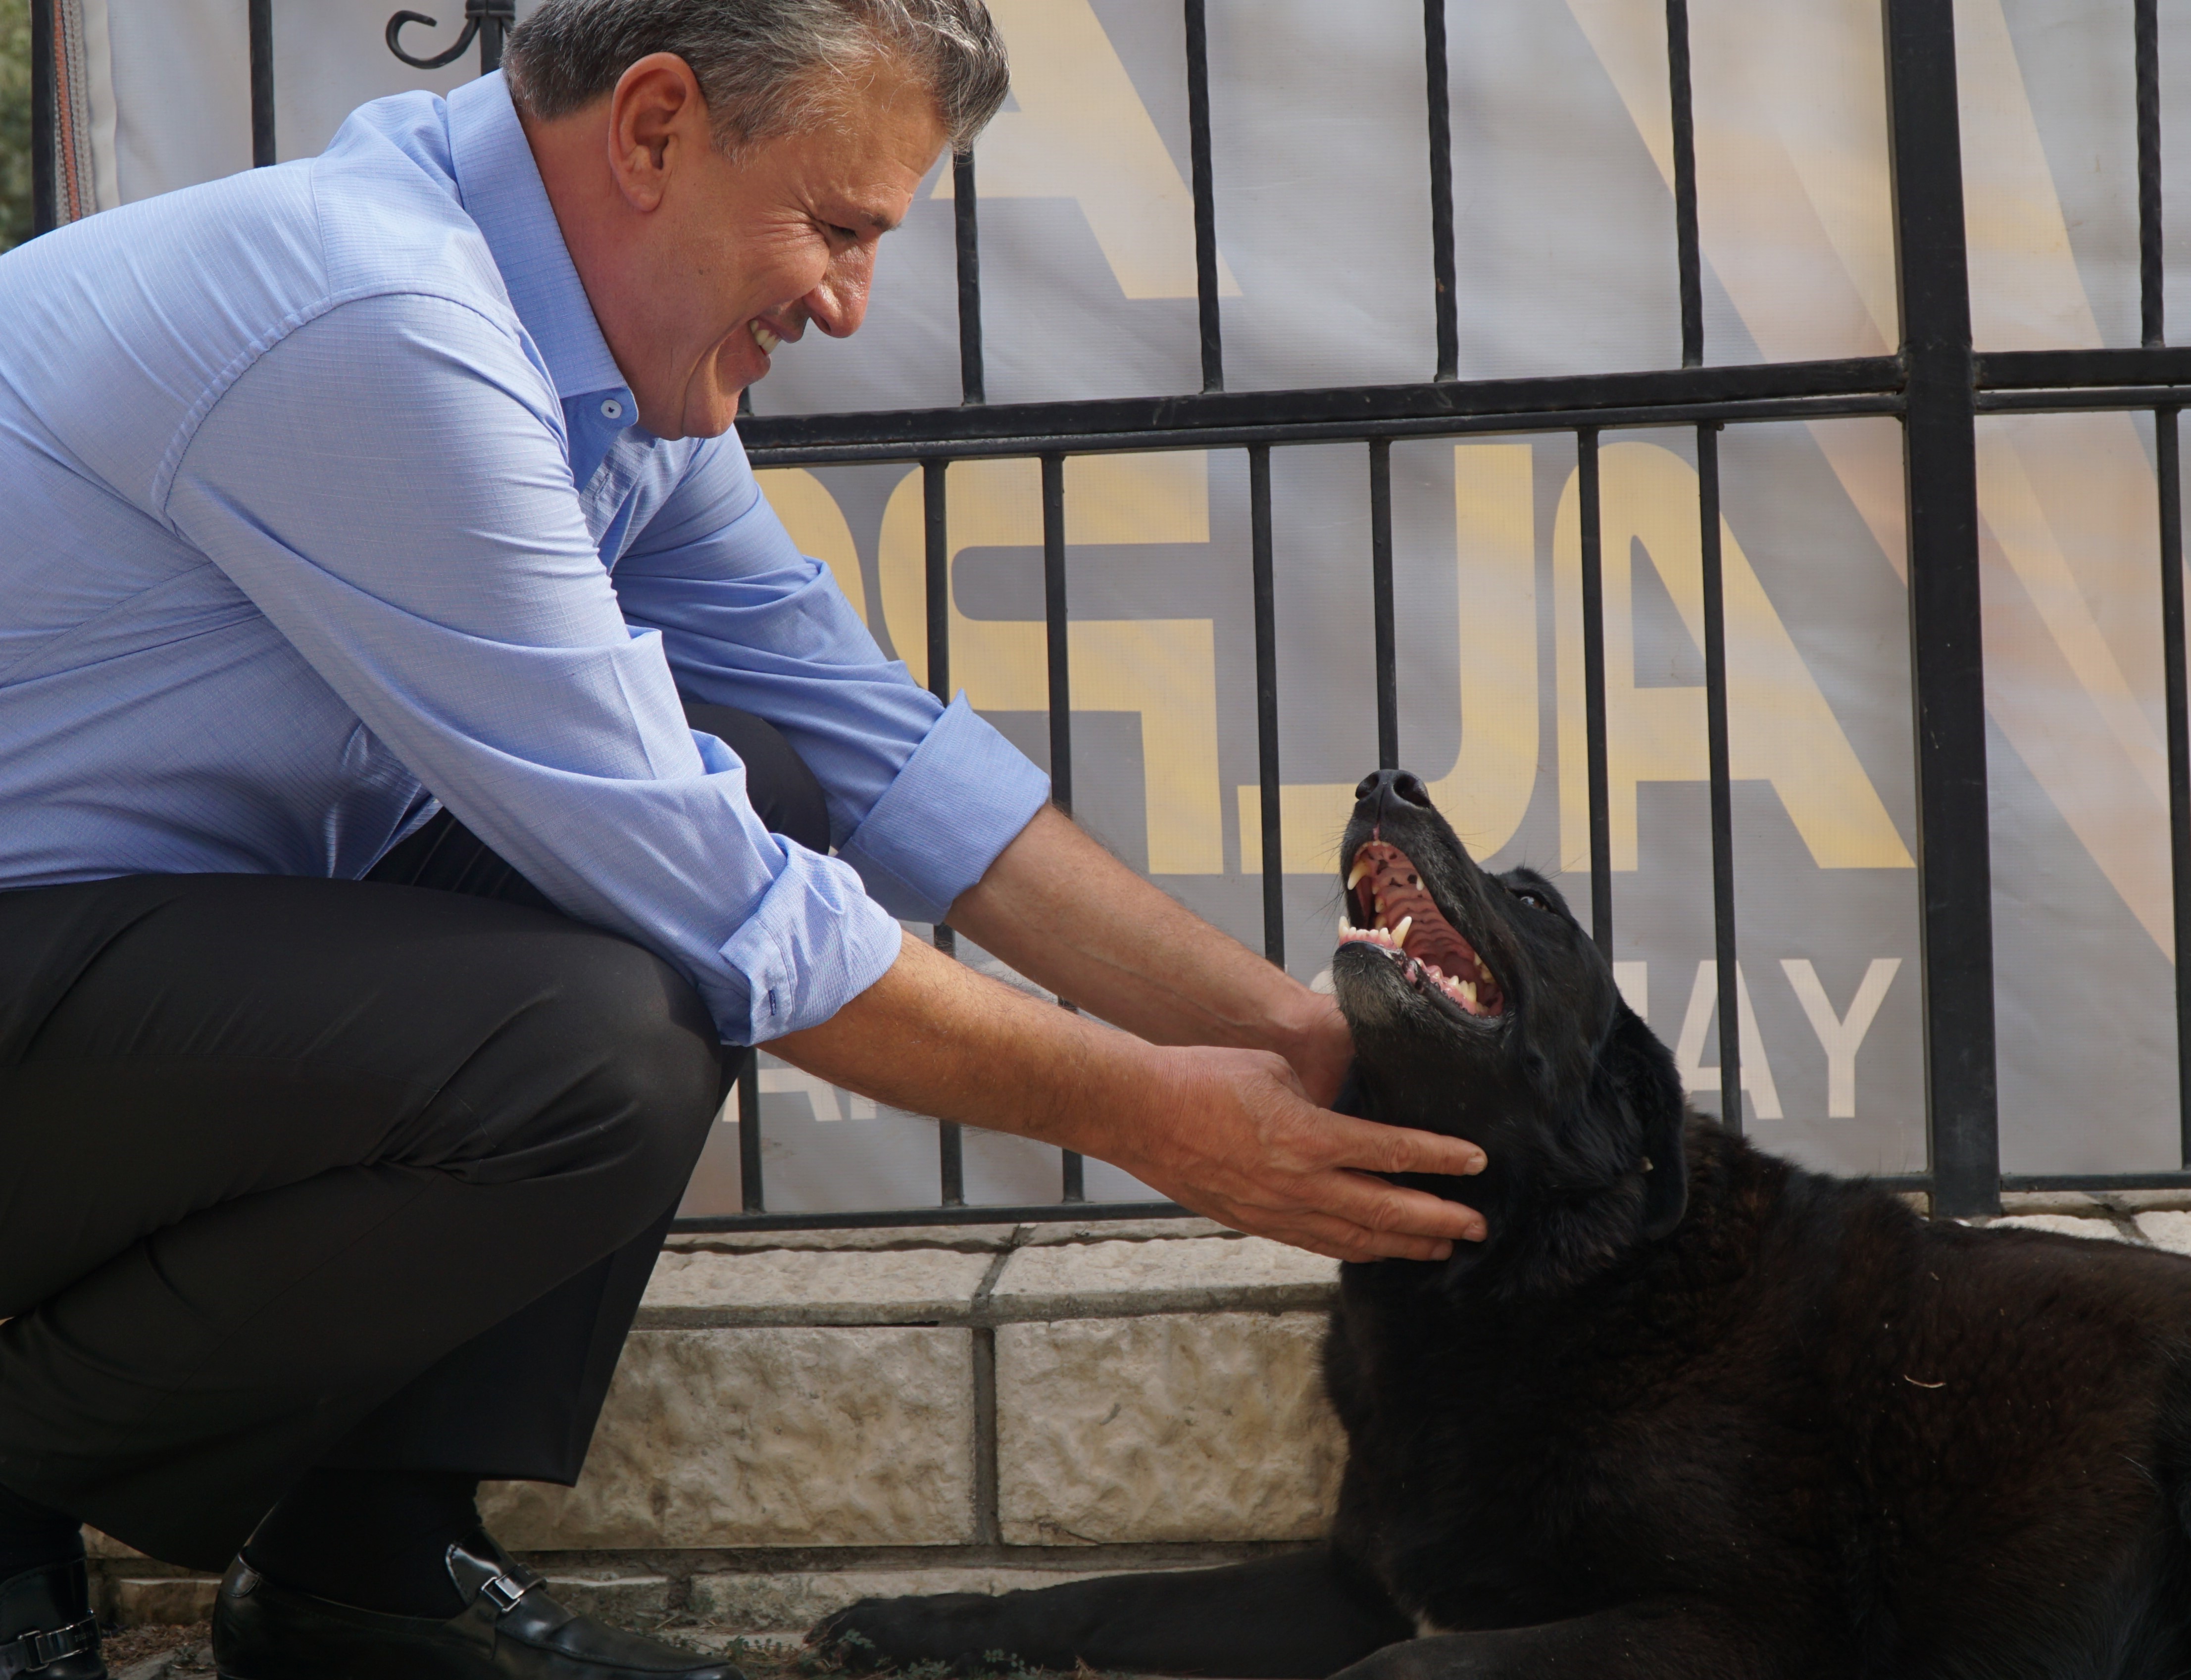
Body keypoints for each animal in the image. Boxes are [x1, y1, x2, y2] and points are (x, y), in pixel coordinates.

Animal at [819, 771, 2191, 1665]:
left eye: (1535, 904)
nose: (1384, 777)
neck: (1516, 1274)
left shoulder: (1726, 1625)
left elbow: (1396, 1666)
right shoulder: (1354, 1580)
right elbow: (1093, 1594)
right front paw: (915, 1624)